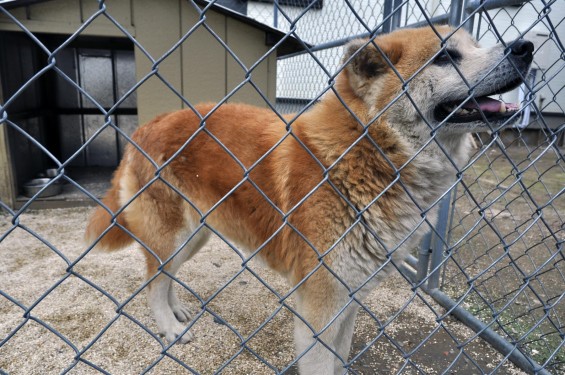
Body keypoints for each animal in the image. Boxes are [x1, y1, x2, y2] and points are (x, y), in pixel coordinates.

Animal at [85, 25, 532, 374]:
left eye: (473, 45)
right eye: (445, 57)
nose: (524, 47)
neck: (367, 151)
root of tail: (147, 126)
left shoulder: (350, 299)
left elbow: (341, 359)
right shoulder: (320, 308)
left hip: (196, 235)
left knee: (163, 277)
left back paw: (176, 311)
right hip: (175, 235)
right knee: (152, 282)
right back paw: (170, 328)